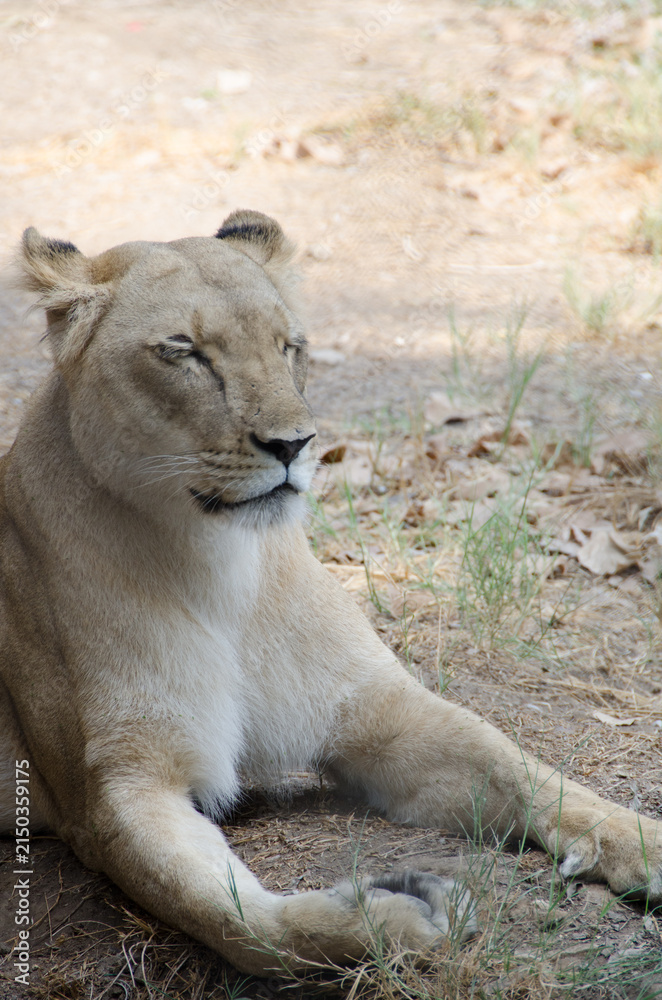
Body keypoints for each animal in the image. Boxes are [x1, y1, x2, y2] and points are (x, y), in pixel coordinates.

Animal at [0, 211, 660, 976]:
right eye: (183, 351)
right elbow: (240, 924)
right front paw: (400, 917)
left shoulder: (371, 708)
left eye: (290, 346)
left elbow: (524, 770)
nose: (294, 444)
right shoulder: (115, 790)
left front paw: (644, 841)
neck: (217, 562)